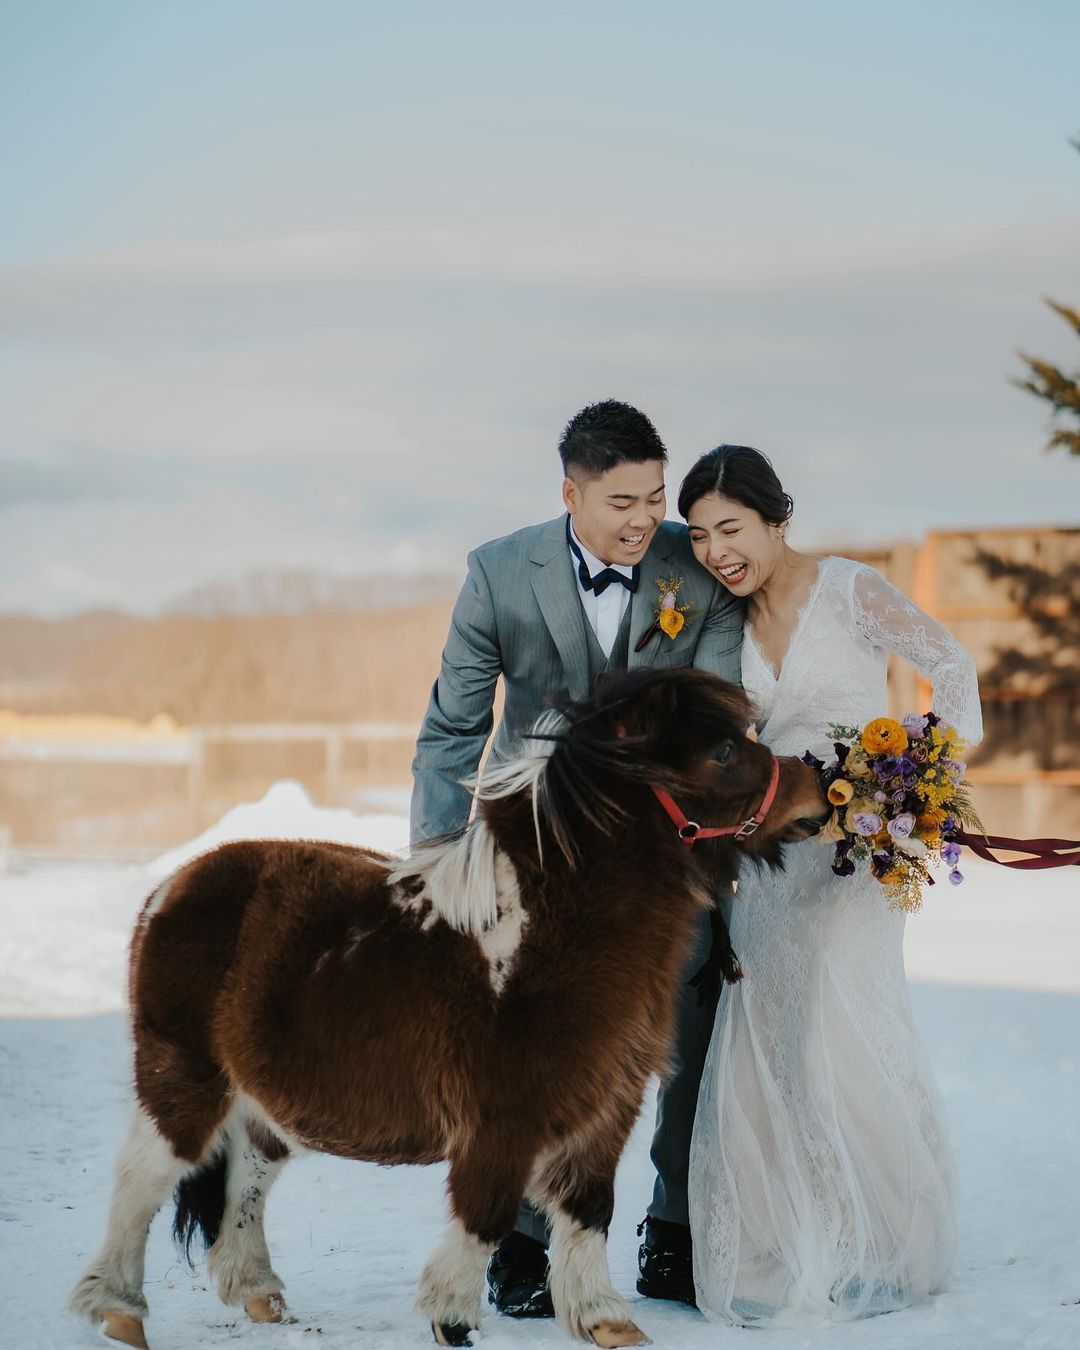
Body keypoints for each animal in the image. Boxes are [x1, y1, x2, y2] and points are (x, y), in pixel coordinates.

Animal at [70, 666, 829, 1350]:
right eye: (722, 752)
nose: (818, 784)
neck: (554, 933)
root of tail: (170, 888)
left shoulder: (605, 1110)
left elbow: (590, 1211)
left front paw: (605, 1320)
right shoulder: (503, 1120)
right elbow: (486, 1213)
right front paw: (453, 1317)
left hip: (264, 1104)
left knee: (245, 1182)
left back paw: (259, 1294)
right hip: (184, 1077)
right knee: (141, 1177)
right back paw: (119, 1311)